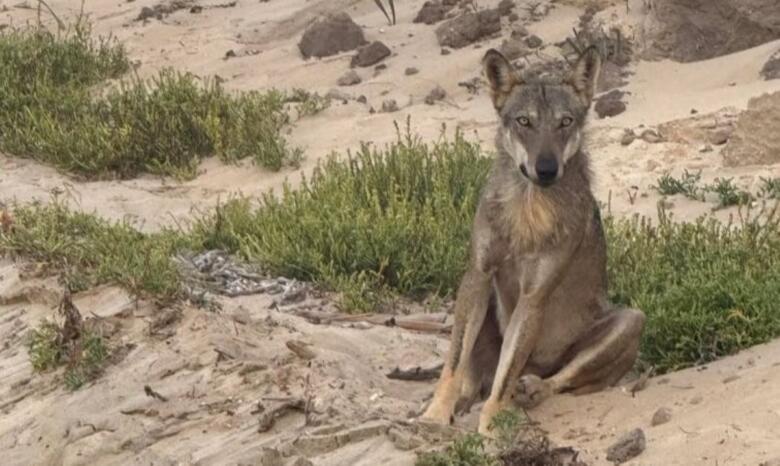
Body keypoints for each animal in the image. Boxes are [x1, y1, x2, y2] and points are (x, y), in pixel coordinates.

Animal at [420, 47, 646, 434]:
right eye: (524, 122)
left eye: (565, 122)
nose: (546, 169)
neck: (527, 212)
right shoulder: (478, 275)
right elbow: (454, 364)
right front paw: (435, 415)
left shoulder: (534, 296)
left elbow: (505, 374)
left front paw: (492, 426)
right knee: (473, 378)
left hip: (631, 319)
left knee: (558, 379)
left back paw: (531, 389)